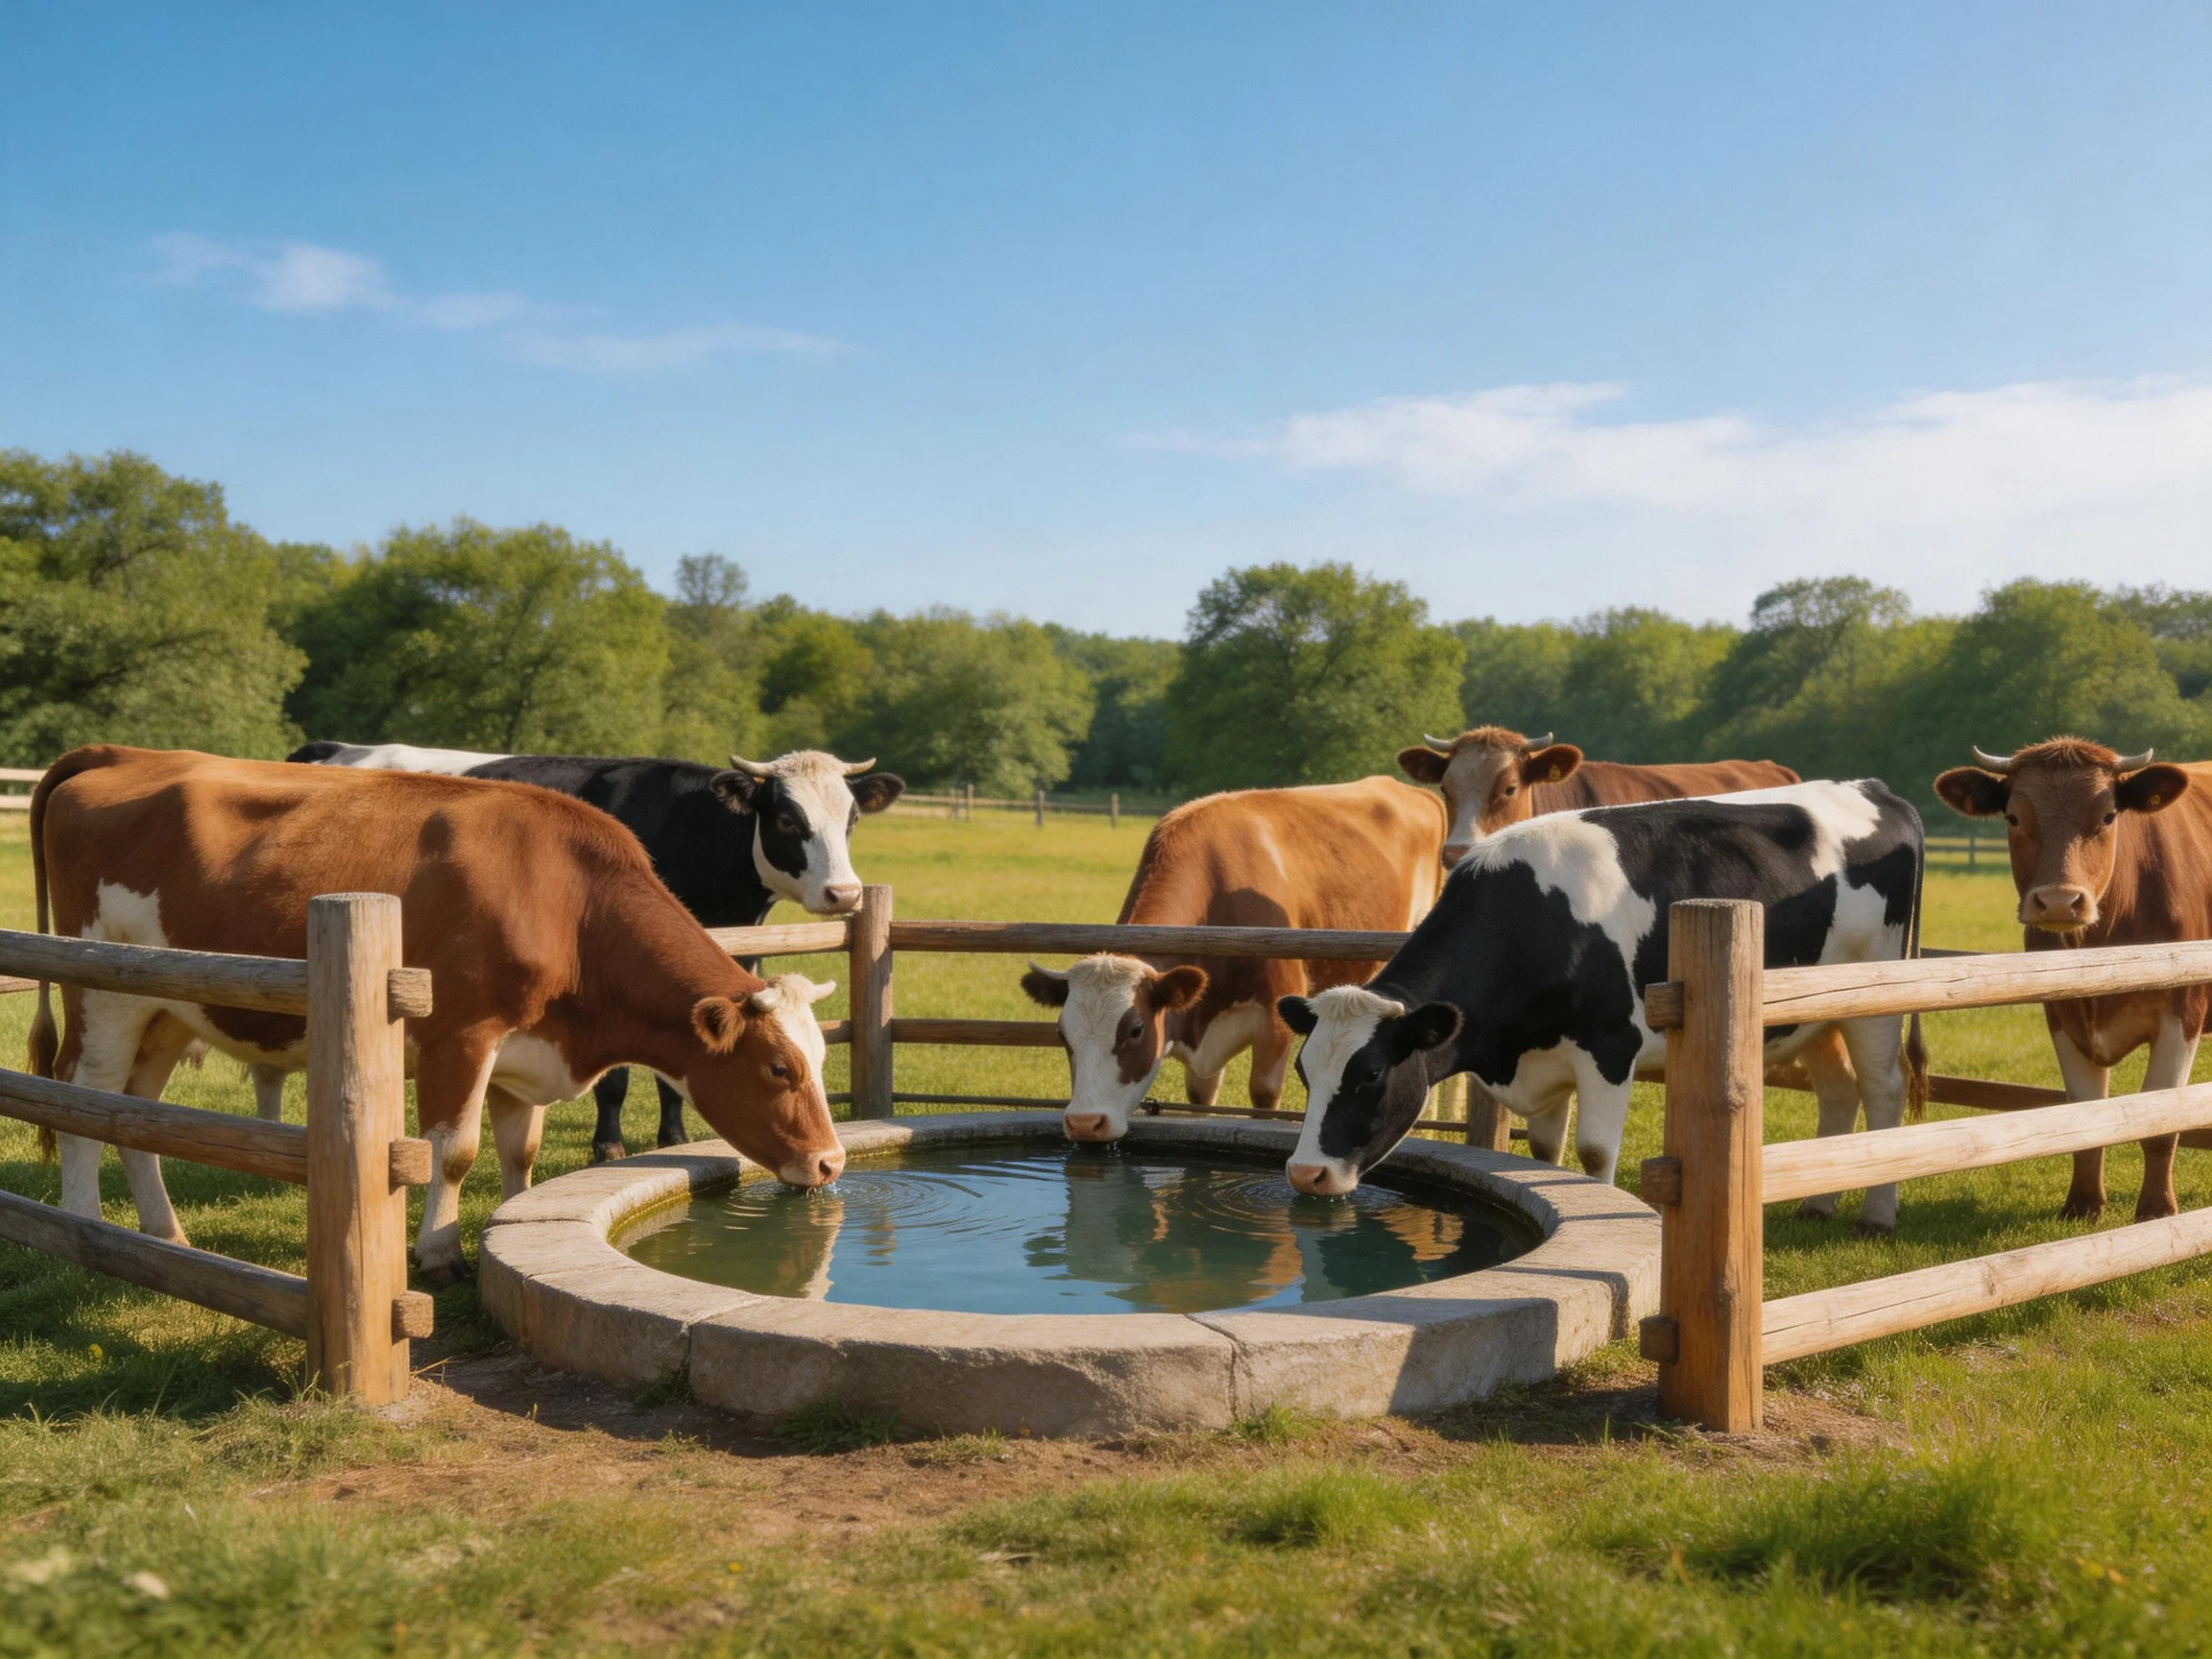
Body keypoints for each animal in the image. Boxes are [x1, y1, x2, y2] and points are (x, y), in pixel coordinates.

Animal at [26, 747, 846, 1279]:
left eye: (819, 1059)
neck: (567, 898)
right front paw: (441, 1252)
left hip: (166, 1009)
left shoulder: (525, 1053)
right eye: (779, 1067)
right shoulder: (463, 1035)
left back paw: (166, 1233)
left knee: (135, 1113)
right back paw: (86, 1228)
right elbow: (454, 1151)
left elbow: (520, 1151)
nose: (831, 1163)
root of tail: (126, 754)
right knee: (83, 1101)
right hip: (104, 997)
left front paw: (513, 1222)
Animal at [288, 741, 902, 1160]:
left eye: (851, 820)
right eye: (786, 819)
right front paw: (609, 1145)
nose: (844, 893)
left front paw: (673, 1137)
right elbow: (617, 1079)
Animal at [1020, 778, 1447, 1144]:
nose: (1084, 1122)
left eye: (1136, 1029)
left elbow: (1264, 1096)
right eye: (1062, 1035)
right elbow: (1201, 1100)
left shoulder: (1275, 1023)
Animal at [1281, 780, 1928, 1235]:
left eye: (1370, 1074)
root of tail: (1875, 789)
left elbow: (1594, 1151)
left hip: (1875, 994)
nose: (1305, 1173)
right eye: (1304, 1071)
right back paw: (1819, 1204)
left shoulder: (1611, 1047)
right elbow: (1547, 1152)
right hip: (1814, 1013)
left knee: (1883, 1087)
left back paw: (1877, 1214)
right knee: (1839, 1090)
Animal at [1934, 739, 2212, 1222]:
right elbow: (2082, 1115)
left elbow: (2161, 1119)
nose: (2061, 901)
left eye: (2108, 816)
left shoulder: (2184, 1010)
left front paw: (2157, 1211)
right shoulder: (2061, 1013)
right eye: (2013, 817)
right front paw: (2082, 1205)